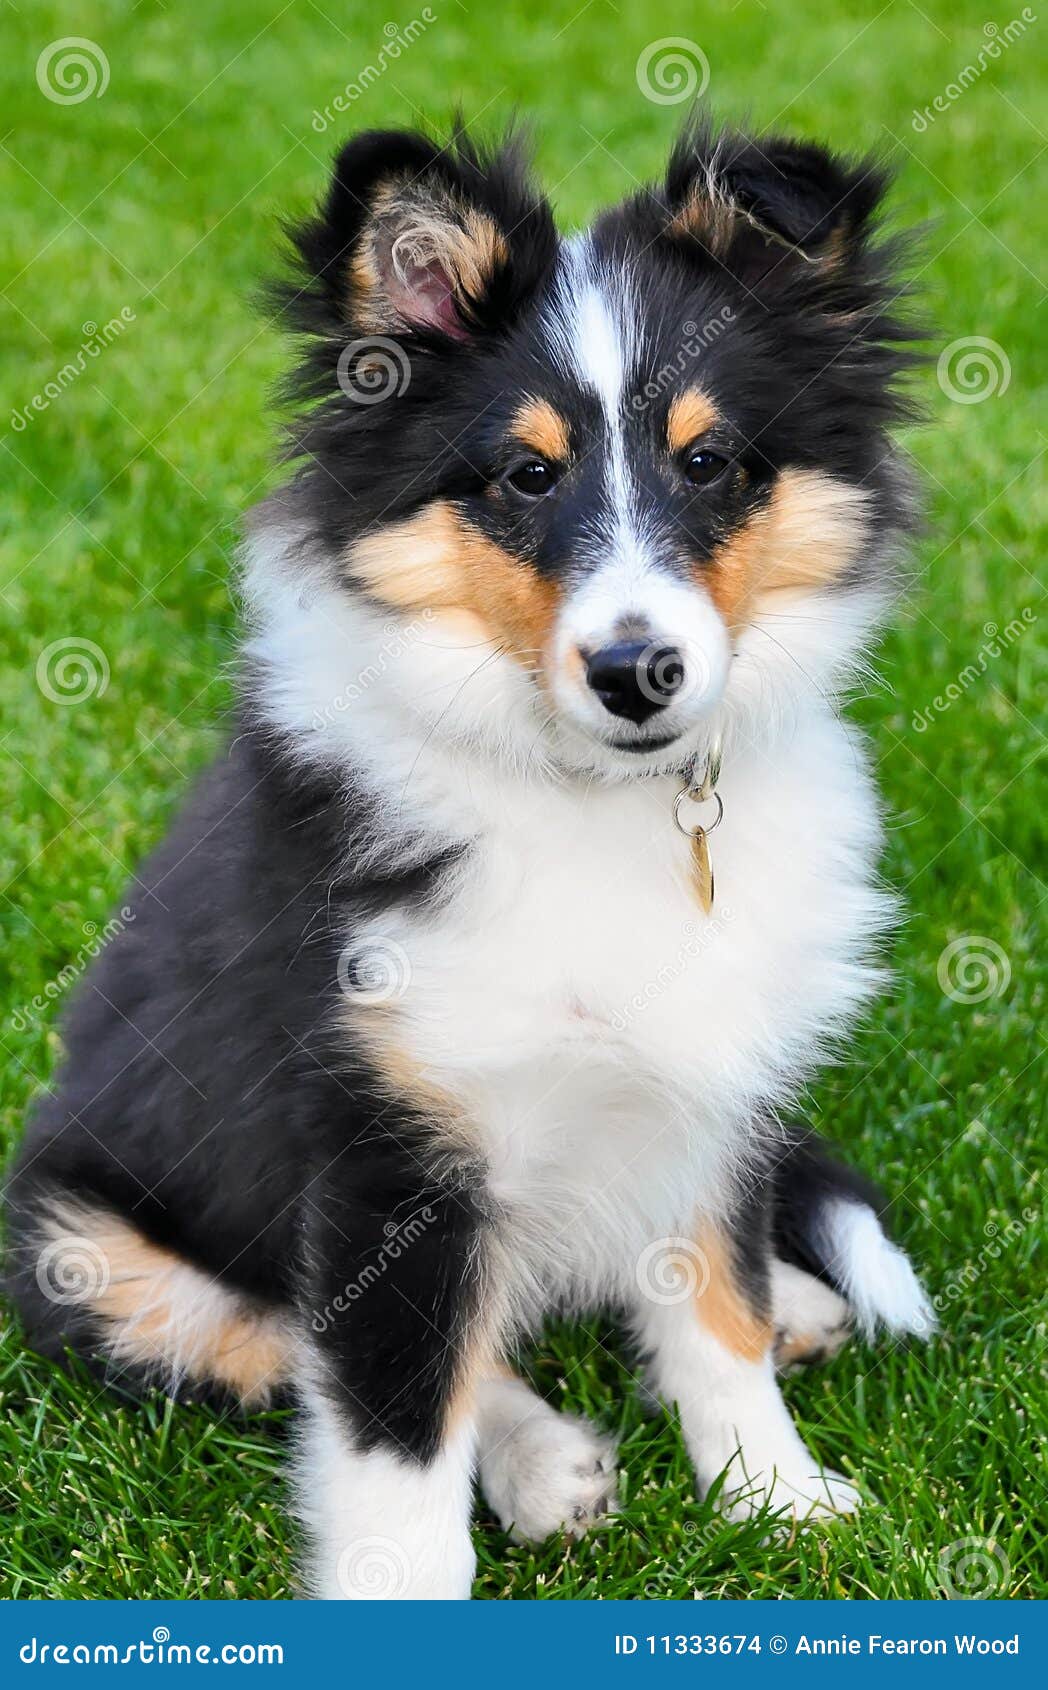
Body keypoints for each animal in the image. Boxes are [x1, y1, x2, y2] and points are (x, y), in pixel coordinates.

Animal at [4, 115, 939, 1595]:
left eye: (711, 461)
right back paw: (543, 1460)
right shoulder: (386, 1148)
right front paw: (409, 1593)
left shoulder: (712, 1076)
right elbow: (395, 1424)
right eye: (526, 474)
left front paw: (775, 1498)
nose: (636, 672)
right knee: (317, 1348)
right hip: (86, 1248)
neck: (600, 801)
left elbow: (716, 1310)